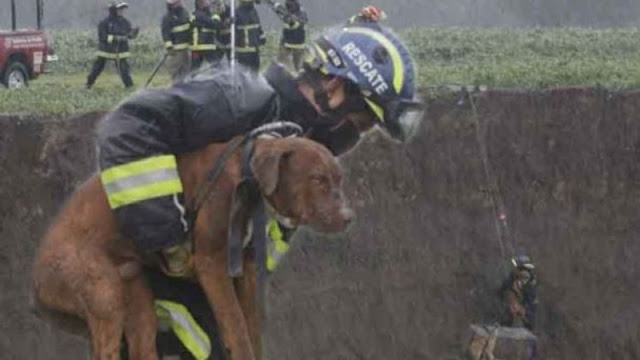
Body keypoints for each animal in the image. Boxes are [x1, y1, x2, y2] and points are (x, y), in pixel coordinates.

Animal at [33, 136, 356, 360]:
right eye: (317, 179)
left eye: (339, 179)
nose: (349, 217)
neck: (247, 177)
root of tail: (36, 280)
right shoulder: (212, 264)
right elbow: (236, 326)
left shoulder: (246, 269)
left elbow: (251, 325)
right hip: (101, 290)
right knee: (106, 349)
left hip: (136, 298)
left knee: (141, 345)